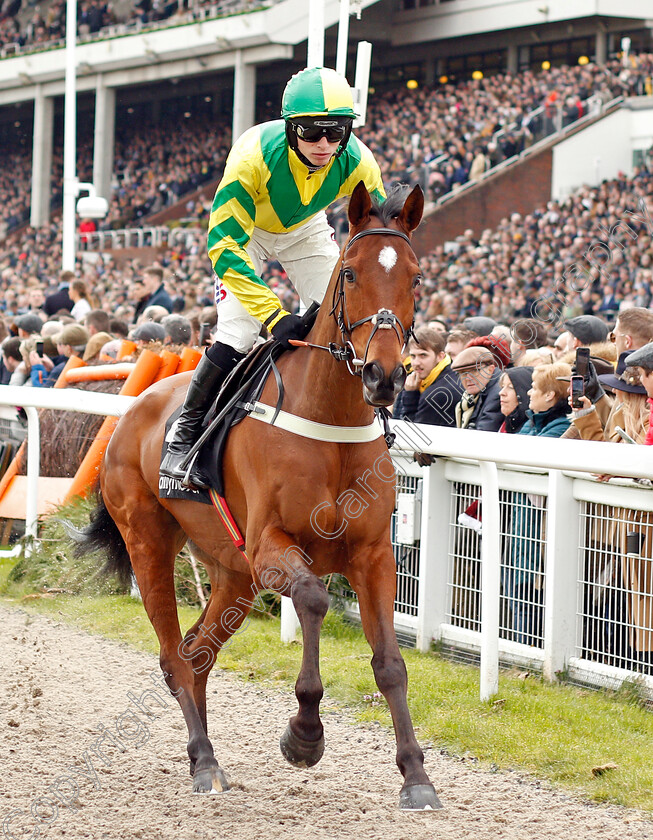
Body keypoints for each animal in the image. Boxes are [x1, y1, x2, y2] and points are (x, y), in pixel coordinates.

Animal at [74, 180, 444, 812]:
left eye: (416, 277)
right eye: (350, 274)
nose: (384, 376)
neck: (329, 419)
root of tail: (132, 410)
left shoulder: (373, 554)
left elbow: (391, 663)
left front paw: (416, 776)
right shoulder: (272, 545)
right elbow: (315, 600)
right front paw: (304, 736)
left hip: (232, 573)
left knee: (196, 653)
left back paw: (204, 758)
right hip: (150, 543)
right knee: (173, 655)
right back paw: (203, 762)